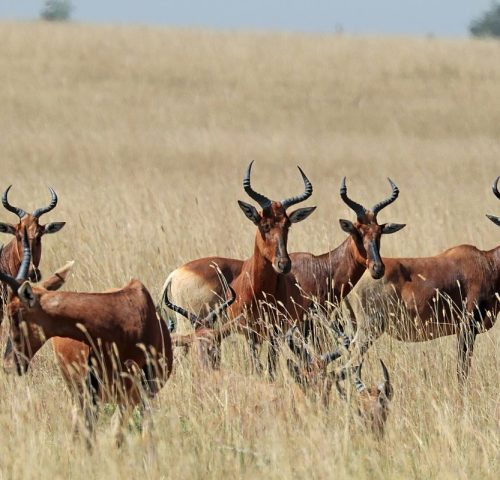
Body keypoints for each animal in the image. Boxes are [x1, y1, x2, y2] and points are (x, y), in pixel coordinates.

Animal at [163, 162, 316, 378]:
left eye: (287, 225)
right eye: (264, 224)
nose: (283, 264)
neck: (261, 290)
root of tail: (176, 273)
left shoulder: (275, 332)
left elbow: (270, 367)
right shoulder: (249, 332)